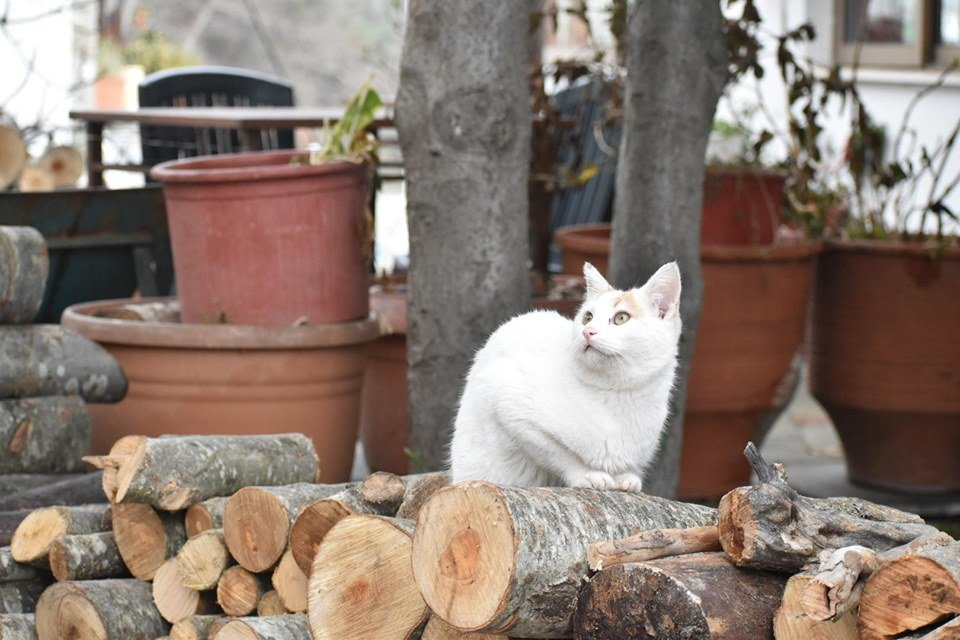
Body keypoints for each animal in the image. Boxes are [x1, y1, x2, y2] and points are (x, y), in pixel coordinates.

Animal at [450, 262, 684, 492]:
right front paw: (587, 474)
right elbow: (558, 454)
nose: (588, 331)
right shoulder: (509, 407)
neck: (616, 394)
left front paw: (626, 477)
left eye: (621, 318)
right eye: (587, 317)